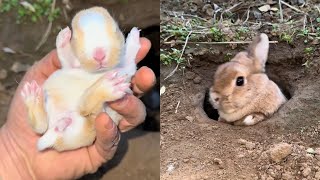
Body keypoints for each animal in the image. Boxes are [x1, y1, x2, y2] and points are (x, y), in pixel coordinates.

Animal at [20, 6, 140, 151]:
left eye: (116, 30)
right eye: (75, 38)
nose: (99, 54)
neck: (98, 72)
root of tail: (56, 135)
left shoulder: (126, 71)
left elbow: (129, 60)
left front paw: (134, 34)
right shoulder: (71, 65)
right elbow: (66, 56)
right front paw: (63, 36)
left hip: (89, 120)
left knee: (79, 110)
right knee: (45, 125)